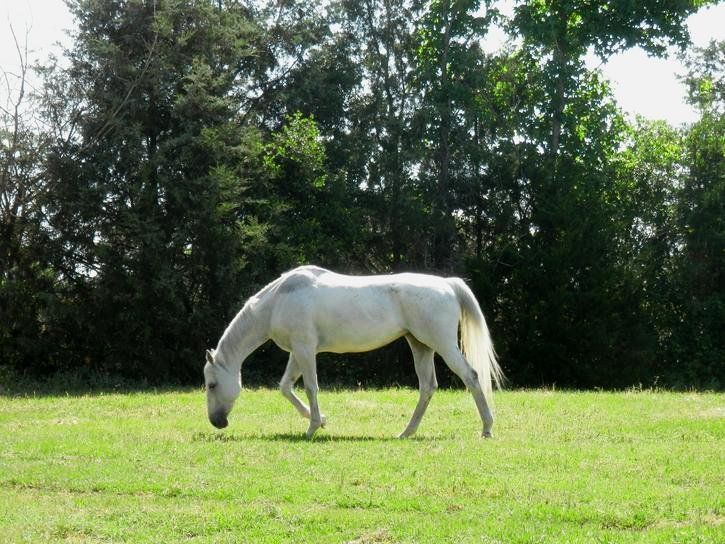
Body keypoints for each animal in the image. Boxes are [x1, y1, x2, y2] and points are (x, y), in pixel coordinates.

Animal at [203, 265, 504, 438]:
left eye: (211, 384)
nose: (217, 422)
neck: (278, 301)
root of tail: (447, 284)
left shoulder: (305, 349)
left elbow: (310, 387)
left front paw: (312, 427)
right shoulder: (297, 352)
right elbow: (286, 387)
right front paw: (320, 420)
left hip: (442, 344)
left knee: (470, 376)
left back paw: (487, 428)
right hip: (420, 346)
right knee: (428, 387)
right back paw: (407, 432)